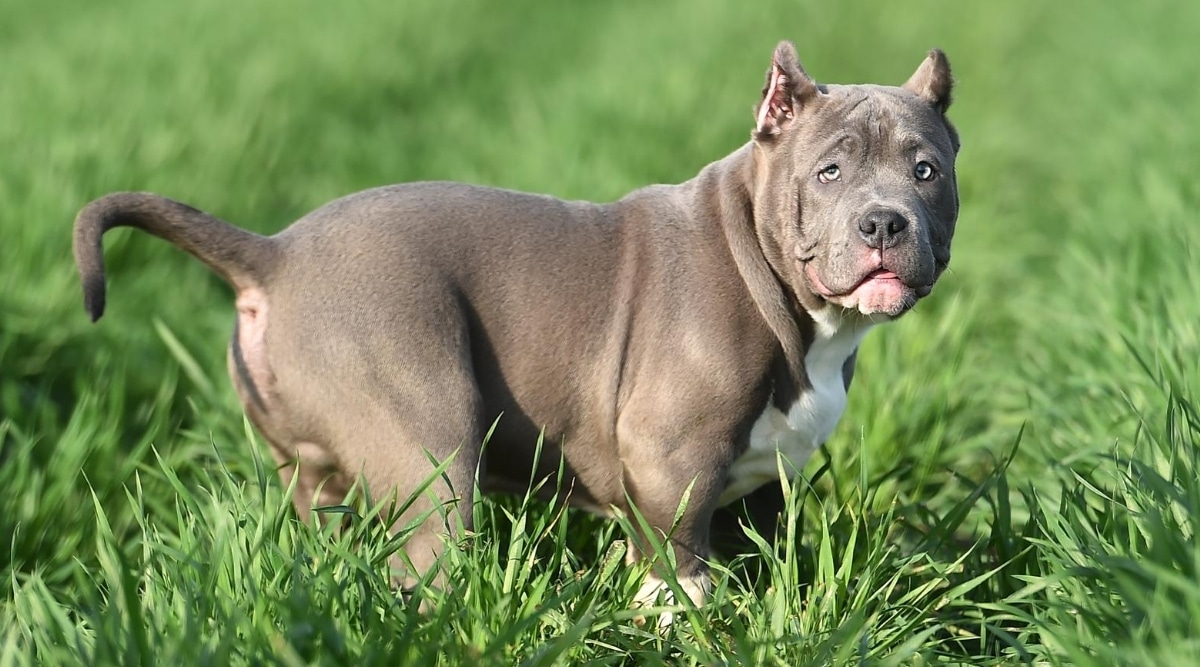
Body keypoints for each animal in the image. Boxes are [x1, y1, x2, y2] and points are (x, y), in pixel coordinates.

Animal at [72, 40, 955, 614]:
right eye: (829, 171)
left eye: (927, 171)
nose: (884, 223)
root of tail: (275, 254)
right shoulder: (668, 456)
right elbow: (677, 561)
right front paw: (685, 620)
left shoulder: (768, 472)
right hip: (427, 431)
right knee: (429, 560)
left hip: (312, 466)